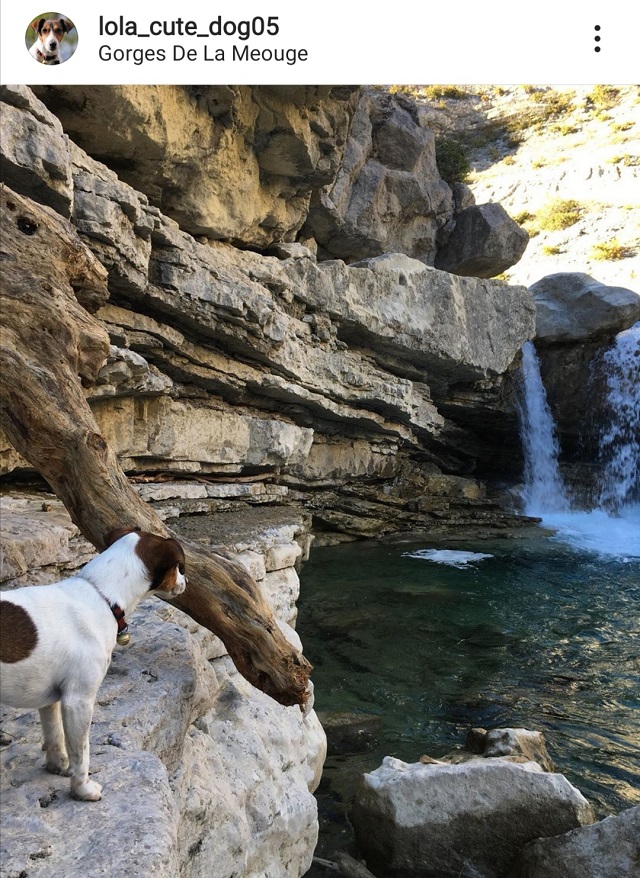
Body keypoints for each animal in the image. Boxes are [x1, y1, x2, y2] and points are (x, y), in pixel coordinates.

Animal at [0, 528, 185, 804]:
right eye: (179, 568)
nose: (186, 582)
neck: (102, 596)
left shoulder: (51, 698)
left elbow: (54, 734)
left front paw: (58, 765)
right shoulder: (78, 700)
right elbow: (82, 752)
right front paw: (83, 789)